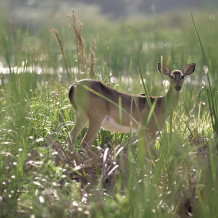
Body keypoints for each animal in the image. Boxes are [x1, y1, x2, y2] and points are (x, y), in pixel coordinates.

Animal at [67, 62, 196, 151]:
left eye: (183, 76)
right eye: (171, 76)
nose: (178, 87)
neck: (161, 104)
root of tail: (74, 86)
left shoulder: (142, 131)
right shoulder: (151, 128)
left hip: (81, 115)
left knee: (71, 137)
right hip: (96, 115)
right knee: (85, 142)